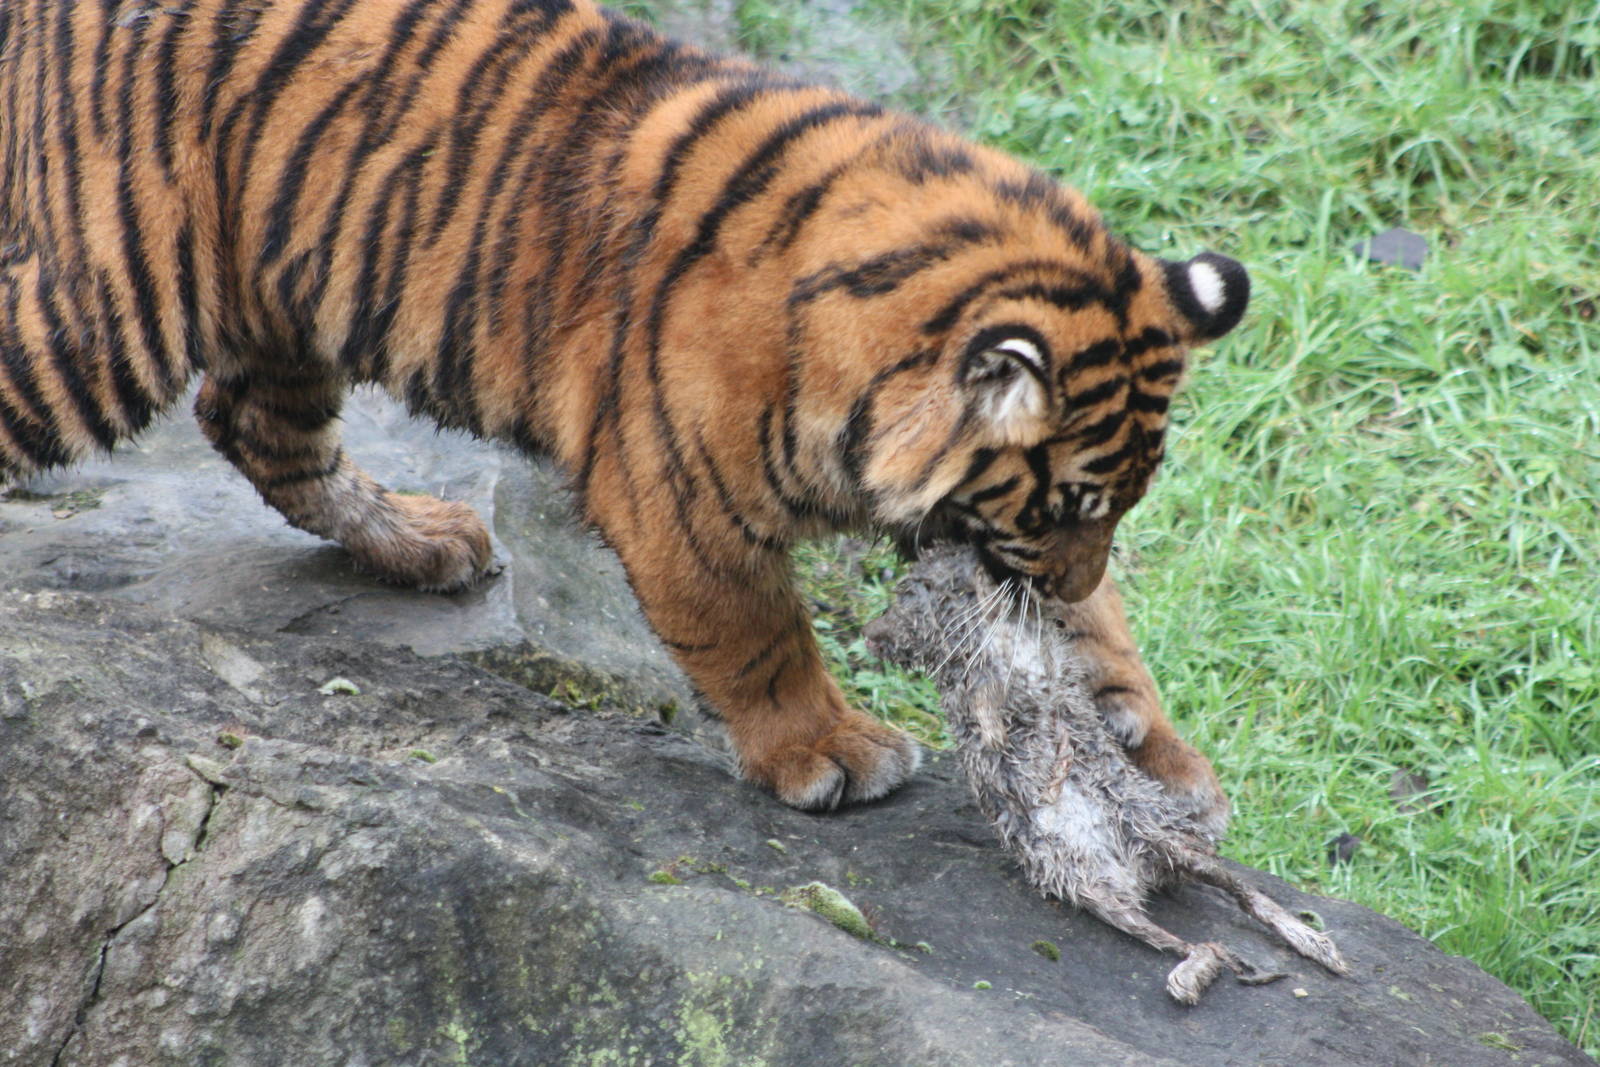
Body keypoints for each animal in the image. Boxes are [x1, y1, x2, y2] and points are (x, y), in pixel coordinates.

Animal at [0, 0, 1243, 824]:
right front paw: (830, 750)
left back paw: (426, 539)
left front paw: (1157, 752)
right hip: (109, 303)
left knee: (254, 426)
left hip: (285, 300)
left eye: (1117, 507)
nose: (1070, 574)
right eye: (1064, 505)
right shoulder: (678, 494)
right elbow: (760, 636)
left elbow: (1100, 636)